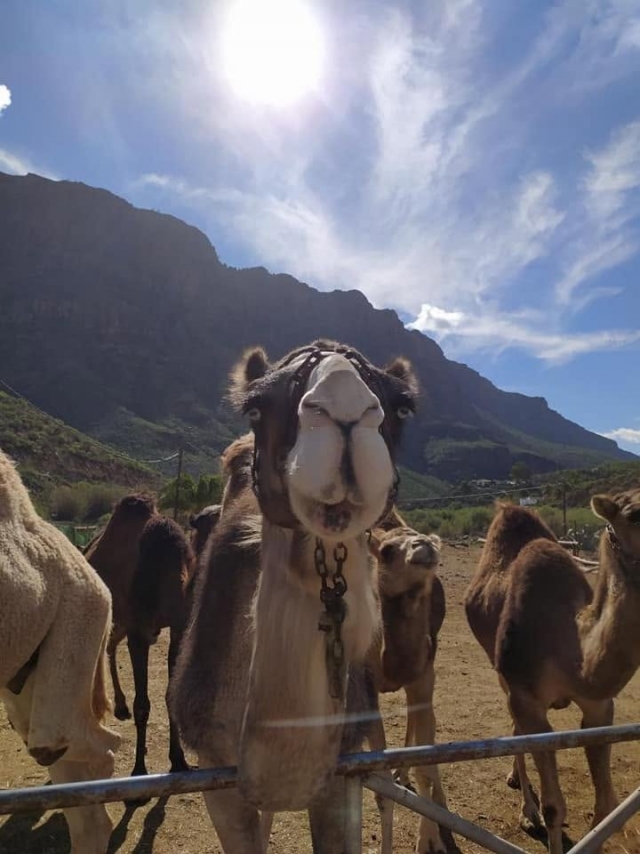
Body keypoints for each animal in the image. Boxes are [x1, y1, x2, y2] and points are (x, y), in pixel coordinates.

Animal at [85, 494, 195, 778]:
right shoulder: (139, 632)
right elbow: (143, 704)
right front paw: (139, 770)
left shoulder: (177, 630)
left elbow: (170, 694)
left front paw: (178, 760)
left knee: (111, 645)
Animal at [464, 493, 640, 854]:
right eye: (634, 515)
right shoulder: (526, 696)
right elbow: (554, 806)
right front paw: (536, 813)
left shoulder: (599, 706)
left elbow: (606, 806)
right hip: (500, 667)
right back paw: (527, 809)